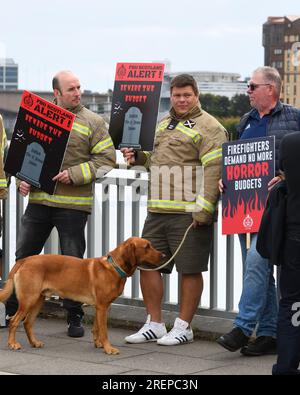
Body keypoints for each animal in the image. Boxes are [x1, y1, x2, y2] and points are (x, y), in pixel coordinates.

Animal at [0, 238, 164, 356]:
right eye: (147, 247)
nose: (164, 255)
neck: (114, 267)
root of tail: (24, 260)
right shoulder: (102, 307)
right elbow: (104, 331)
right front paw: (108, 349)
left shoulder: (101, 307)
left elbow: (96, 328)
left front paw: (98, 344)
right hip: (28, 300)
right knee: (14, 321)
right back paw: (12, 344)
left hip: (38, 300)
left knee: (27, 323)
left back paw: (34, 342)